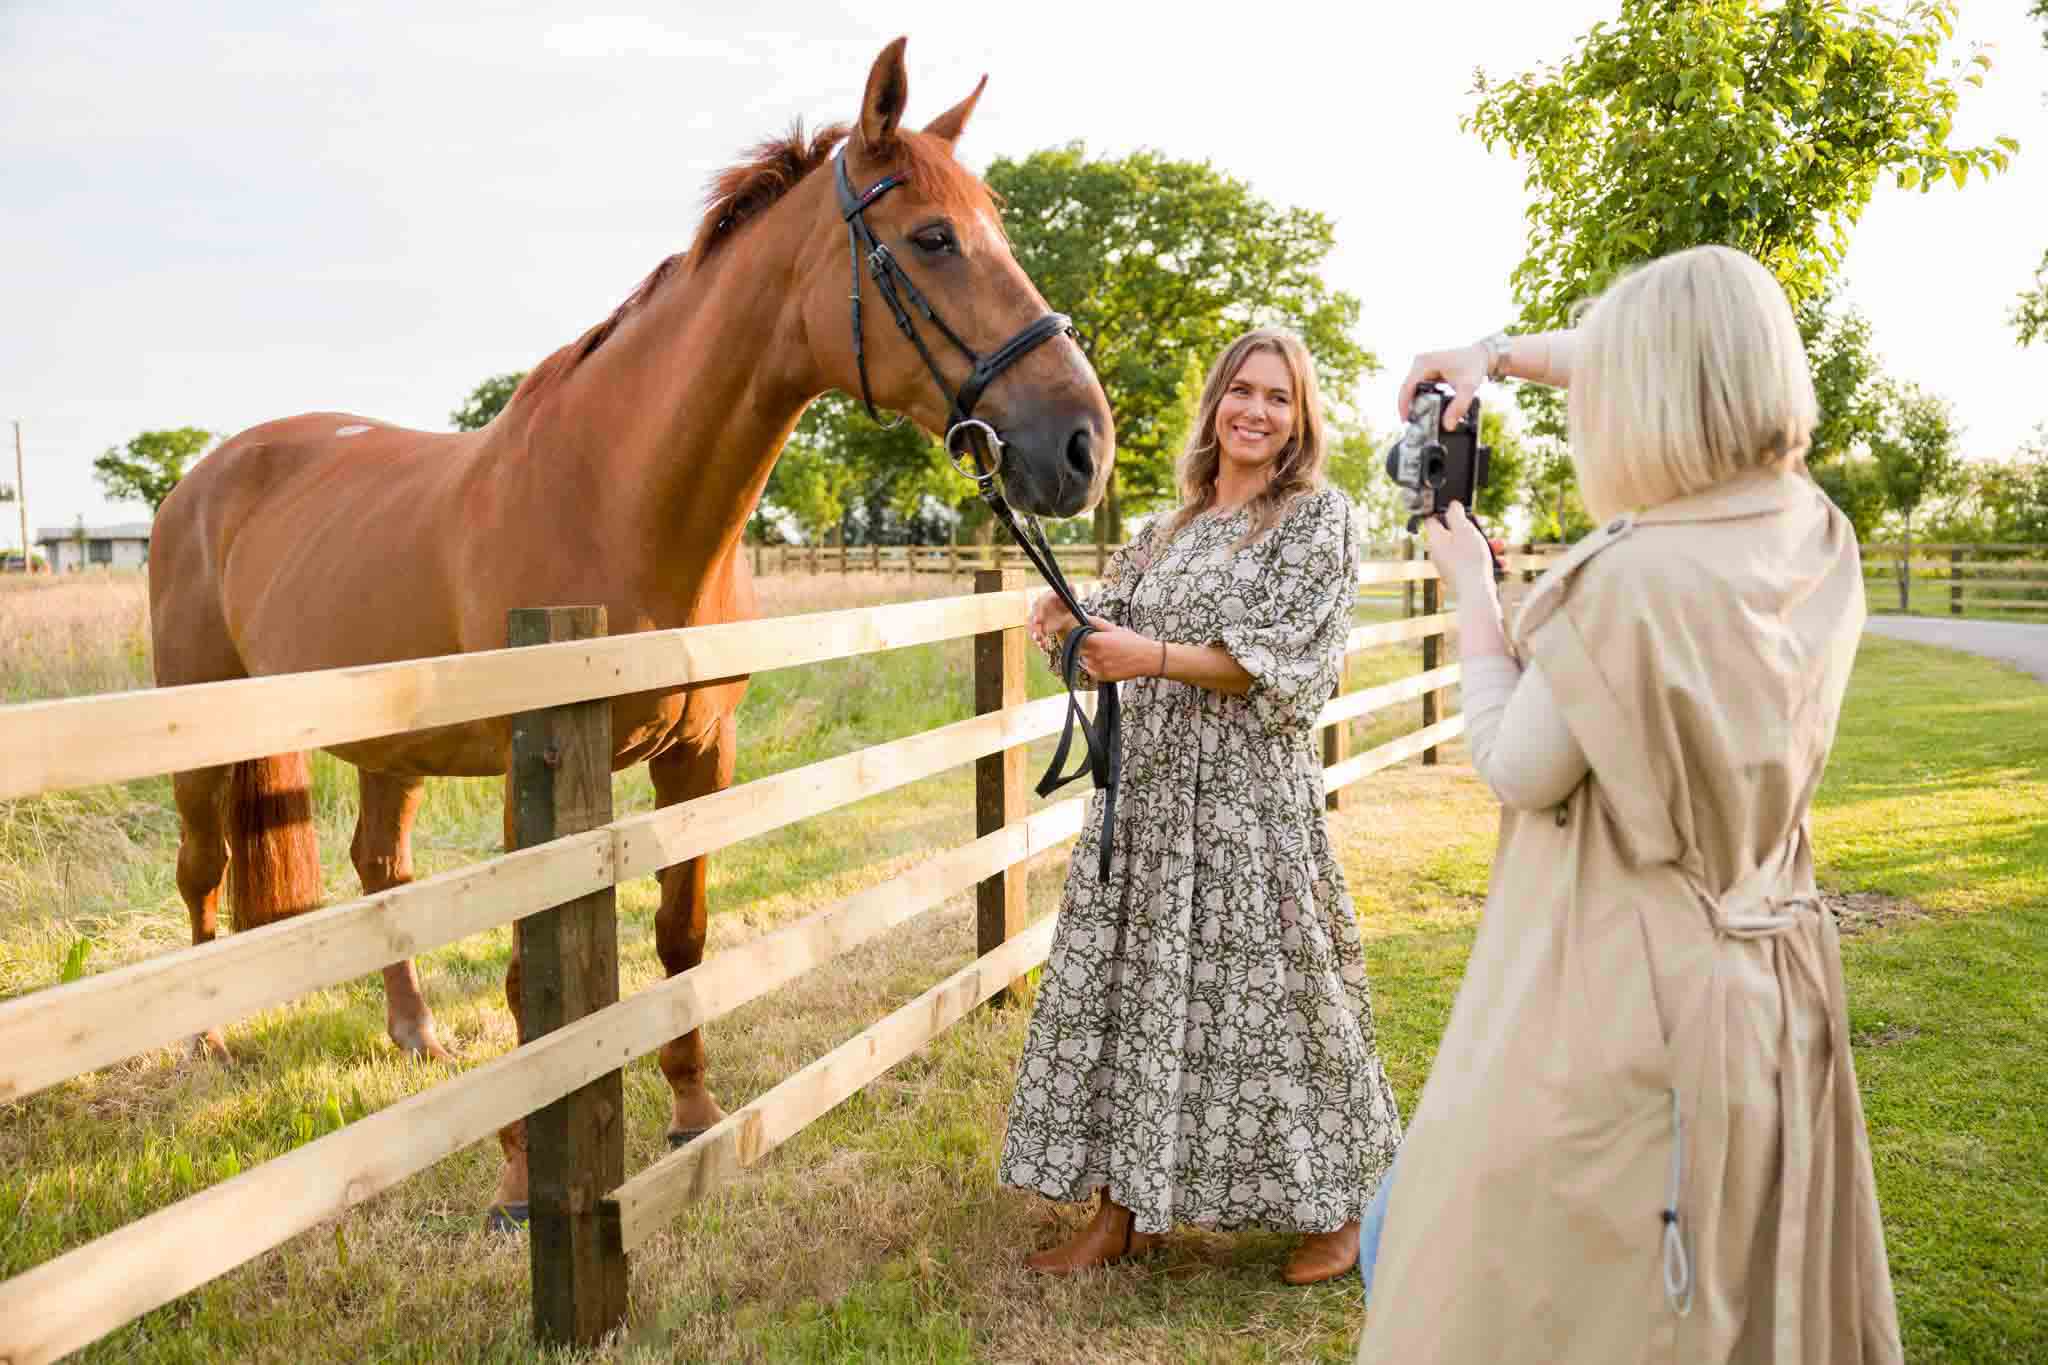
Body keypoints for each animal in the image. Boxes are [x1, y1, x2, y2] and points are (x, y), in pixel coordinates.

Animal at [149, 37, 1114, 1219]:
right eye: (932, 238)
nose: (1083, 444)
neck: (616, 496)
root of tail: (206, 478)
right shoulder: (544, 780)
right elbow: (533, 981)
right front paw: (522, 1179)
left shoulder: (699, 754)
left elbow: (679, 935)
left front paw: (694, 1115)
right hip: (204, 736)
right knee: (201, 873)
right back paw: (204, 1042)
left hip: (392, 749)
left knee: (382, 871)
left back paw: (415, 1034)